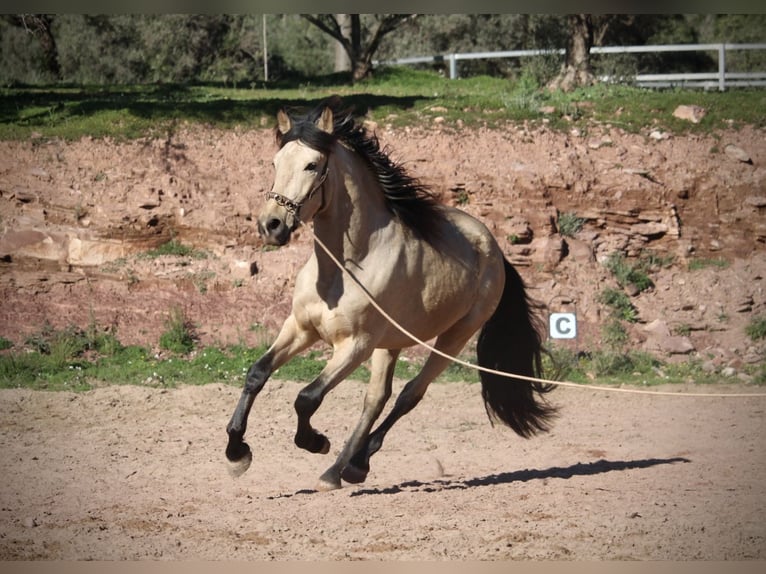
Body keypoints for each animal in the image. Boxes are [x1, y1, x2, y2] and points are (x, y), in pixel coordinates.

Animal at [225, 95, 556, 491]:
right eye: (275, 163)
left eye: (312, 165)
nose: (271, 225)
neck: (343, 269)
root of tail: (493, 249)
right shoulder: (301, 329)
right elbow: (257, 374)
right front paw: (237, 453)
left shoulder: (355, 345)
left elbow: (307, 398)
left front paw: (315, 441)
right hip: (392, 343)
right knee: (376, 399)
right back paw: (341, 469)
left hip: (453, 338)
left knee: (408, 394)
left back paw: (353, 464)